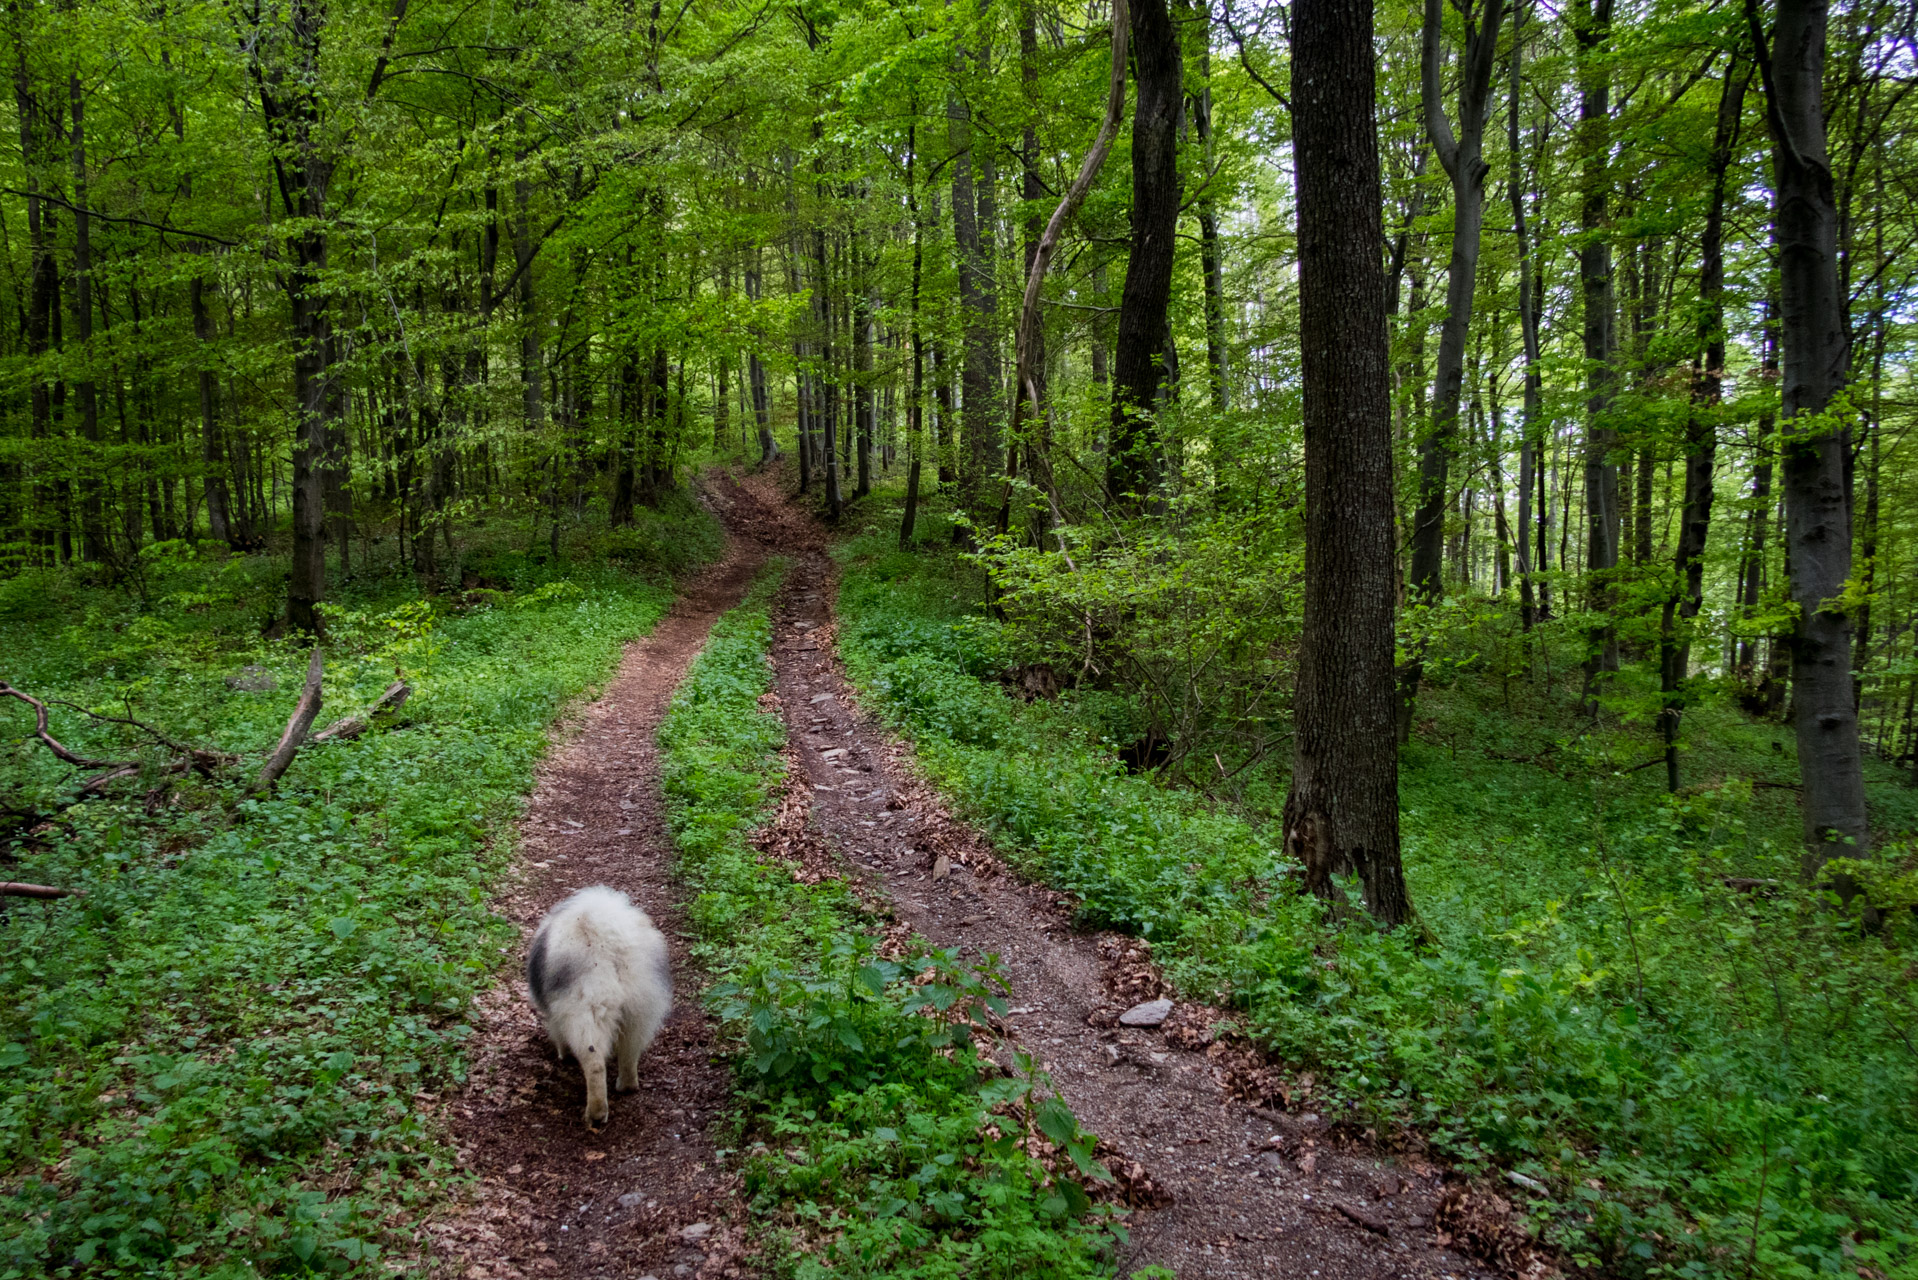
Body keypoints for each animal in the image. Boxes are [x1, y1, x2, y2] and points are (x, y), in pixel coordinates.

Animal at [525, 886, 675, 1128]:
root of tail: (608, 943)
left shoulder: (556, 1017)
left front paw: (563, 1055)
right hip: (641, 1008)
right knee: (630, 1052)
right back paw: (627, 1086)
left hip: (587, 1011)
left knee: (594, 1065)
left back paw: (595, 1114)